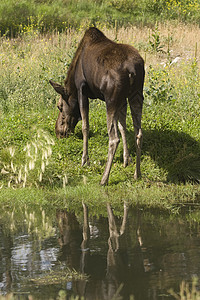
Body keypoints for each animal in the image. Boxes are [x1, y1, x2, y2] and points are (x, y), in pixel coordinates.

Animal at [49, 27, 145, 185]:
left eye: (59, 106)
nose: (59, 132)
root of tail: (132, 71)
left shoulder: (82, 89)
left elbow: (85, 126)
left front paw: (84, 160)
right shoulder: (123, 100)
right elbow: (123, 127)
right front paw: (126, 159)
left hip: (111, 98)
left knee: (113, 139)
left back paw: (104, 178)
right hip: (136, 95)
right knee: (139, 134)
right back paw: (137, 174)